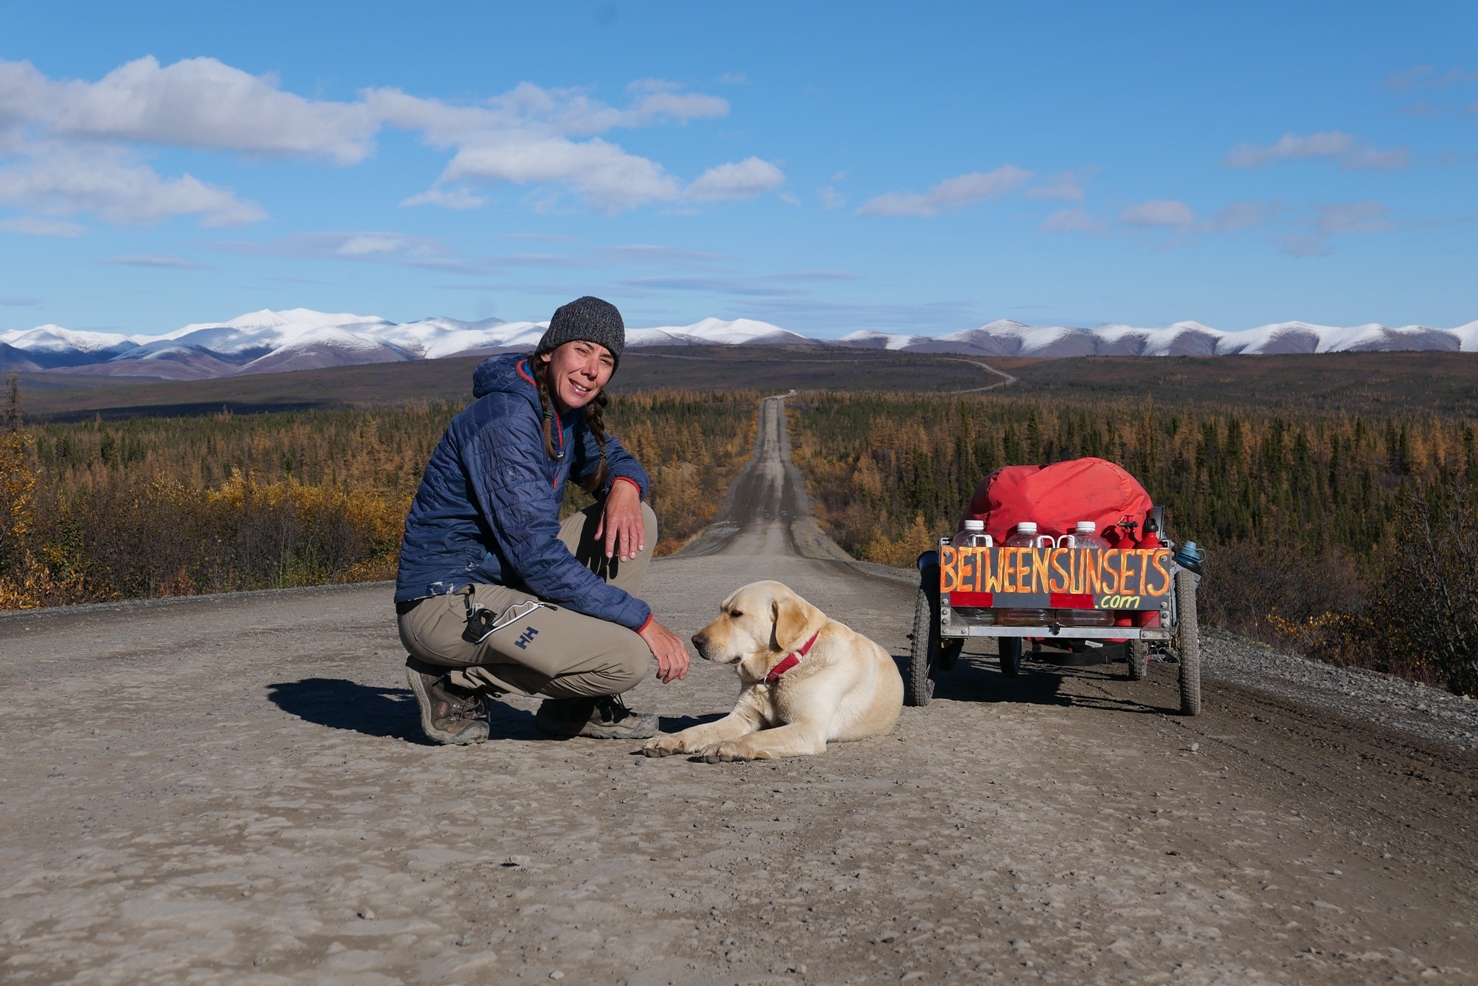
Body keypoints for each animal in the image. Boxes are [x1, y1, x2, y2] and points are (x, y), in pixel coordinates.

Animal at [644, 579, 904, 762]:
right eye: (721, 610)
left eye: (736, 614)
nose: (695, 641)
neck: (780, 668)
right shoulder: (743, 717)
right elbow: (699, 729)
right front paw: (669, 740)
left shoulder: (808, 729)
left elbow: (757, 736)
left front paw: (726, 746)